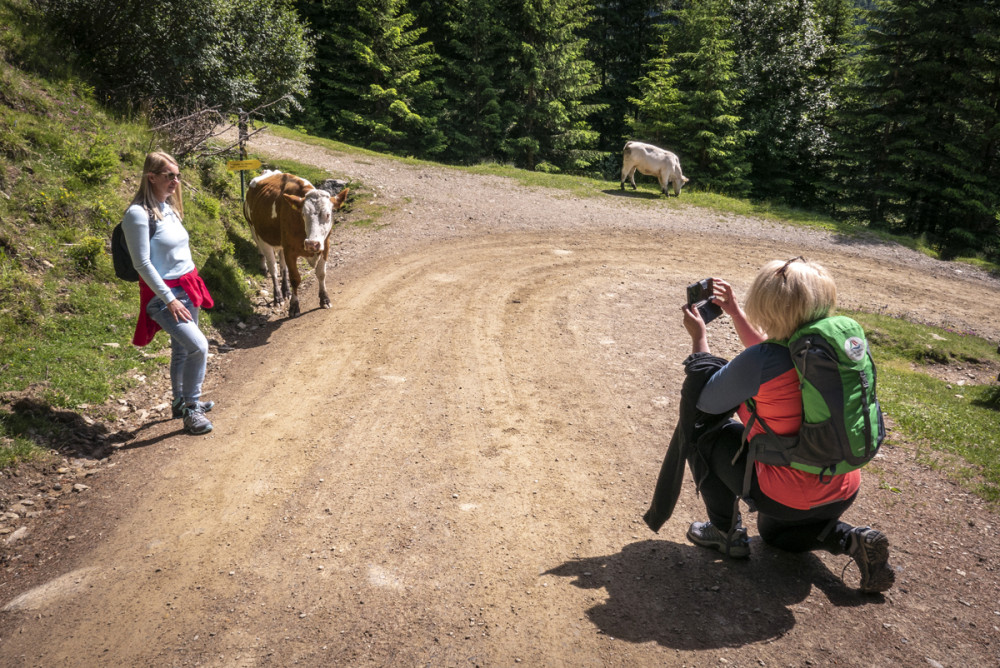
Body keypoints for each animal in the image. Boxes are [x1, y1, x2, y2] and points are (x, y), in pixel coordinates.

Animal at [243, 172, 350, 318]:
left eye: (328, 214)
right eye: (303, 214)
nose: (312, 244)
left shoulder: (325, 246)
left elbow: (321, 273)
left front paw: (324, 299)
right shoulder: (290, 251)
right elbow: (295, 278)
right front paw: (294, 306)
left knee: (282, 265)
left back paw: (286, 291)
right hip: (256, 232)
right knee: (272, 267)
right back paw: (277, 296)